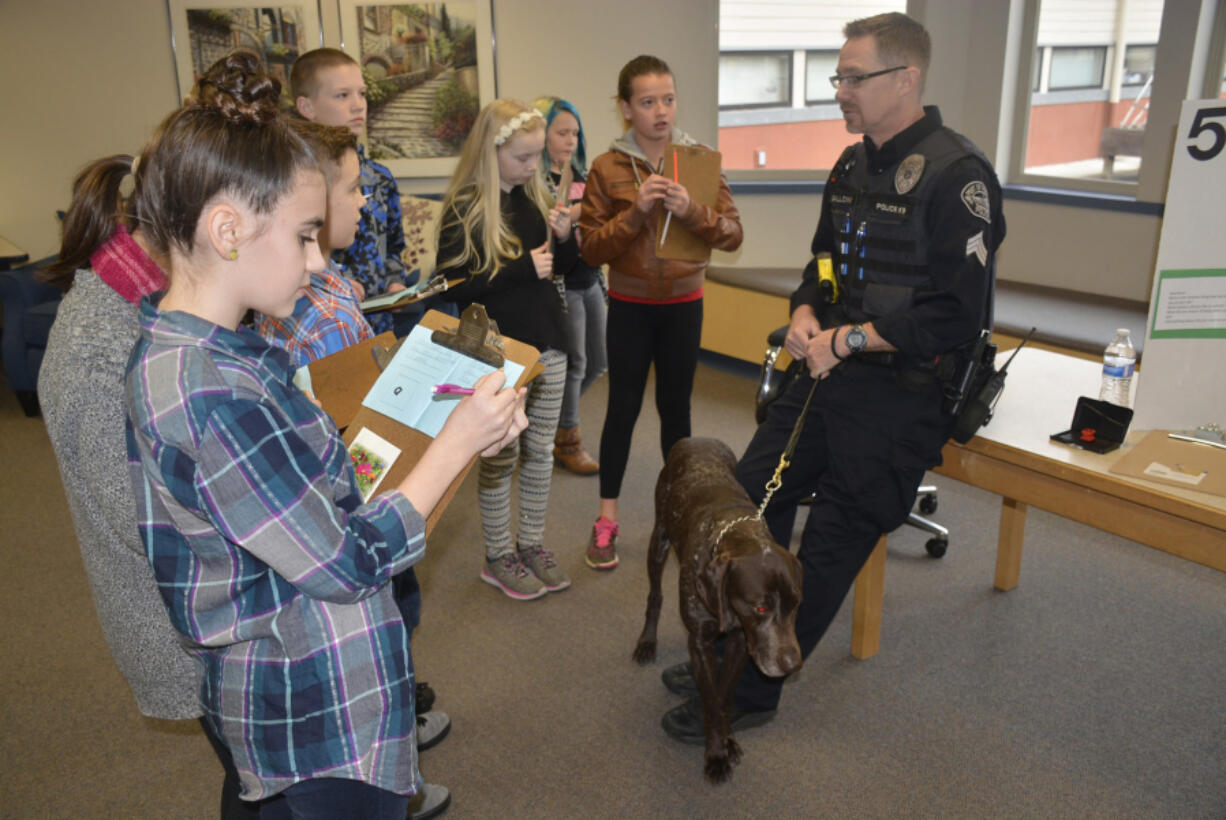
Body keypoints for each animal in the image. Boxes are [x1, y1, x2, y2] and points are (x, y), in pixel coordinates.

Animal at [632, 433, 804, 779]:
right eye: (760, 608)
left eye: (796, 606)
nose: (793, 665)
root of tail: (696, 438)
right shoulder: (699, 641)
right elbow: (710, 699)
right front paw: (715, 754)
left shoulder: (740, 642)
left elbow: (724, 696)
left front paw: (729, 740)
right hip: (659, 539)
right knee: (655, 596)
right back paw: (646, 642)